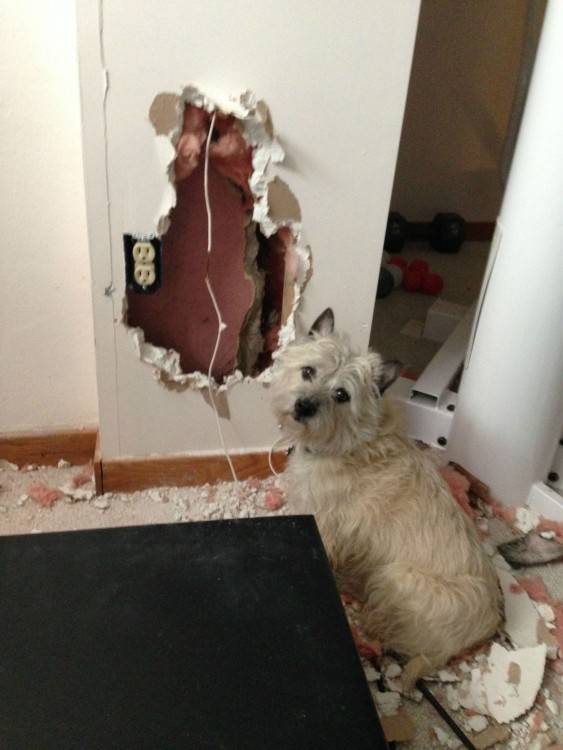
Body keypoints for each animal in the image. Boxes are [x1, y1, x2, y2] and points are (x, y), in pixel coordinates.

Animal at [274, 308, 502, 692]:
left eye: (342, 395)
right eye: (308, 371)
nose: (303, 406)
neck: (350, 441)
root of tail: (484, 629)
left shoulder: (325, 526)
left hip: (396, 577)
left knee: (383, 630)